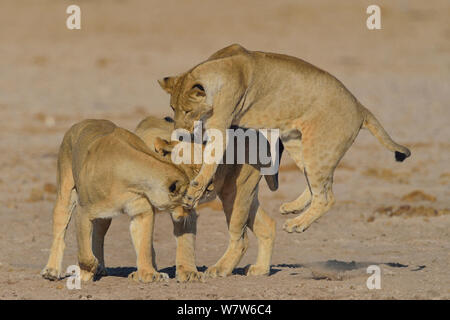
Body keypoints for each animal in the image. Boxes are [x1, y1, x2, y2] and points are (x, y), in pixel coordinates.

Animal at [40, 120, 192, 282]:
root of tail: (80, 123)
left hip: (104, 217)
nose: (187, 214)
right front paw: (85, 271)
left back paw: (100, 267)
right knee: (60, 232)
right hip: (65, 193)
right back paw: (51, 271)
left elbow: (144, 246)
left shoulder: (142, 213)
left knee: (98, 236)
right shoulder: (83, 211)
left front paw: (149, 273)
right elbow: (84, 252)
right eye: (187, 198)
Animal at [135, 115, 280, 278]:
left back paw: (220, 268)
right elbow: (144, 238)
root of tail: (257, 133)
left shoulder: (188, 207)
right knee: (268, 225)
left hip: (235, 193)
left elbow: (185, 239)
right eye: (195, 168)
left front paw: (188, 272)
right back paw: (260, 269)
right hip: (247, 193)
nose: (209, 187)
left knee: (241, 239)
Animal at [157, 43, 412, 232]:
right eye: (173, 108)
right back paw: (292, 208)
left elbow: (209, 164)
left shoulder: (221, 127)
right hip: (298, 144)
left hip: (318, 148)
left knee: (326, 197)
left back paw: (296, 224)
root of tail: (360, 107)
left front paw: (193, 192)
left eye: (188, 110)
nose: (179, 130)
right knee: (319, 185)